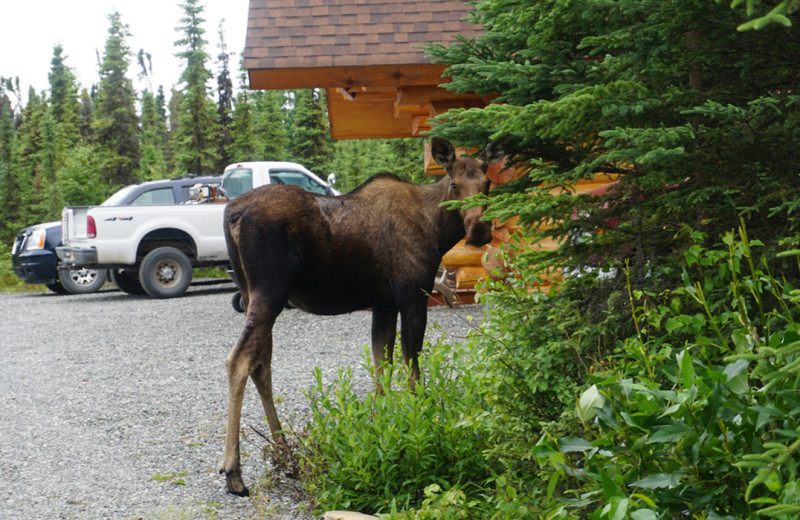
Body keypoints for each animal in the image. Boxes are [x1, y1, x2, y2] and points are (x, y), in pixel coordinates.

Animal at [219, 135, 506, 496]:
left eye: (488, 183)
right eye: (455, 184)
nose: (479, 230)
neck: (437, 231)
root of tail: (232, 213)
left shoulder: (383, 303)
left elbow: (382, 369)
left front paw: (381, 430)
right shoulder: (412, 296)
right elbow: (413, 372)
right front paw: (422, 427)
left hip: (252, 295)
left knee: (261, 365)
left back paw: (285, 453)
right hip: (269, 293)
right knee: (239, 360)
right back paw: (234, 472)